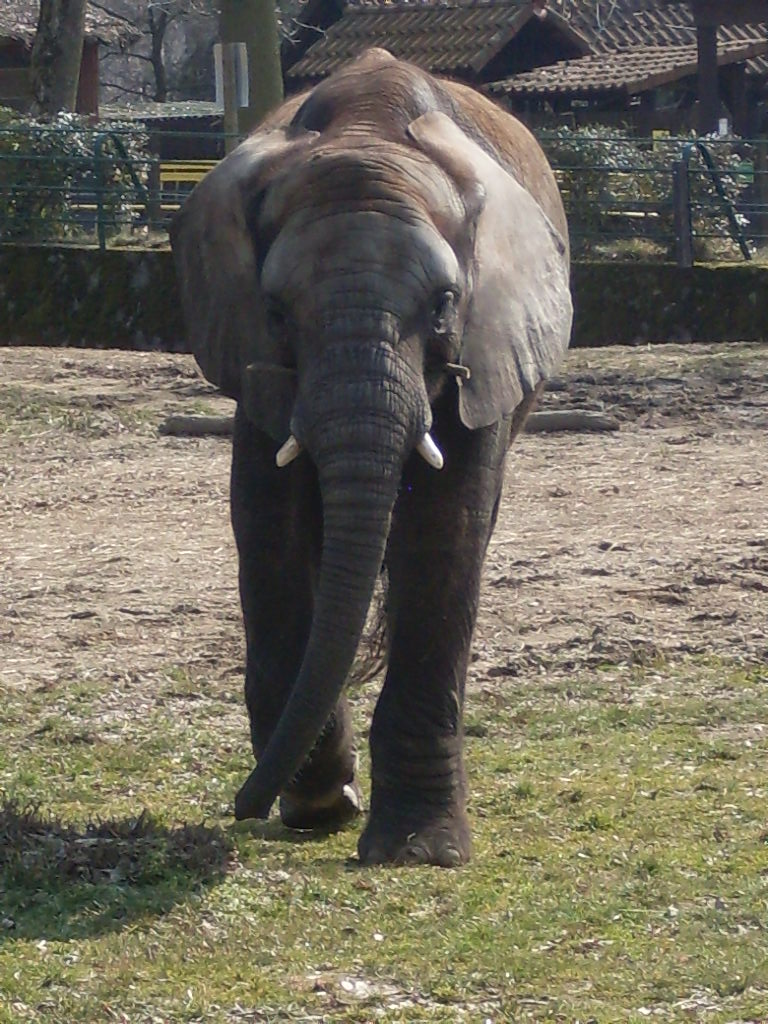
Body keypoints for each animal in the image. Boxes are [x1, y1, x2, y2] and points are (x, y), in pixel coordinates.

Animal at [170, 48, 572, 866]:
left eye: (444, 304)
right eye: (276, 311)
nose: (240, 807)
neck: (367, 129)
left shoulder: (487, 343)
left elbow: (445, 535)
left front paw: (418, 849)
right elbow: (267, 524)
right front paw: (321, 802)